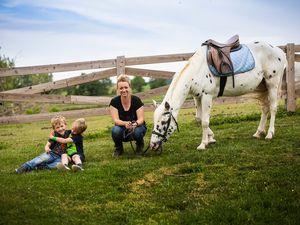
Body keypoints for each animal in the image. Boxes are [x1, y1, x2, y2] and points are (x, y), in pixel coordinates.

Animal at [150, 39, 286, 150]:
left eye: (163, 122)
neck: (197, 69)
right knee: (265, 108)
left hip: (272, 84)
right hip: (262, 86)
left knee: (273, 108)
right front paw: (211, 138)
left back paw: (269, 134)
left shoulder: (207, 96)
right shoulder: (197, 97)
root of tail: (279, 51)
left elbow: (205, 121)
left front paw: (203, 144)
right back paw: (259, 132)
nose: (153, 145)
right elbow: (199, 119)